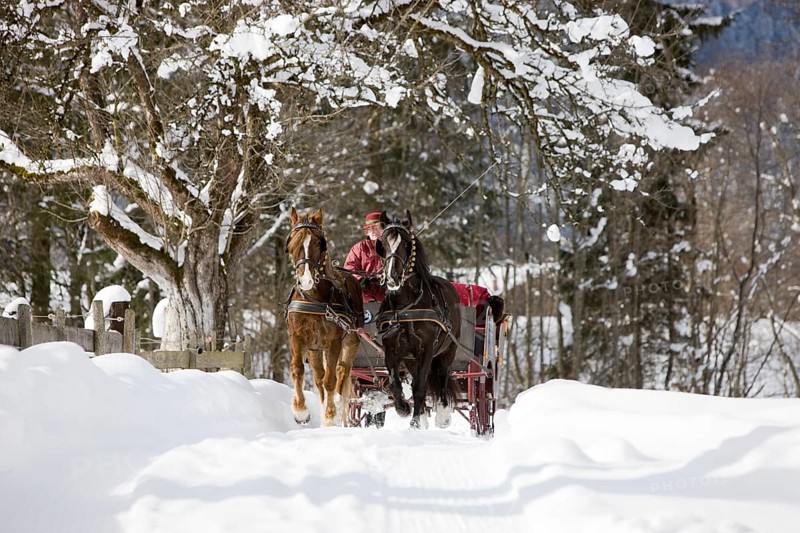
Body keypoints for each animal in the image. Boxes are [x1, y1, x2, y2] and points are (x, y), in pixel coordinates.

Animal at [284, 207, 364, 426]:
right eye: (292, 243)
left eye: (319, 243)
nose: (306, 281)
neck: (314, 298)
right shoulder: (296, 336)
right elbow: (298, 370)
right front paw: (301, 411)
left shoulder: (334, 342)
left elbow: (331, 381)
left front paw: (330, 416)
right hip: (315, 350)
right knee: (320, 378)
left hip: (350, 343)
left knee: (341, 372)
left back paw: (337, 408)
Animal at [374, 210, 461, 429]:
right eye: (382, 243)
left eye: (406, 243)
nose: (392, 277)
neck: (406, 306)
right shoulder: (392, 350)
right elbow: (395, 383)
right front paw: (403, 409)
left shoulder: (427, 350)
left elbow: (421, 387)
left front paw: (415, 423)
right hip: (411, 359)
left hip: (447, 351)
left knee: (442, 376)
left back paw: (442, 415)